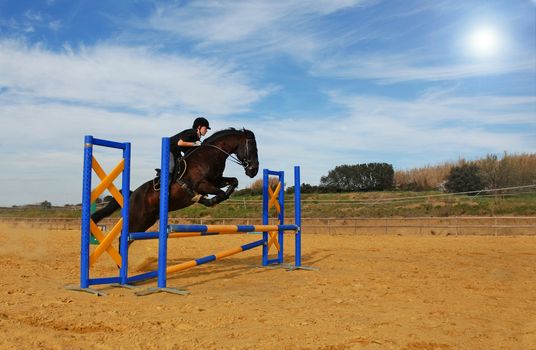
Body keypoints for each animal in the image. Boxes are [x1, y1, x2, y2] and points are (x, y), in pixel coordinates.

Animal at [91, 127, 258, 234]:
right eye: (253, 148)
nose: (254, 171)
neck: (209, 155)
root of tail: (131, 195)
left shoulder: (216, 180)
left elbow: (233, 181)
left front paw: (218, 196)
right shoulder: (201, 184)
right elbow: (219, 193)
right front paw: (209, 200)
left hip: (147, 220)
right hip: (137, 218)